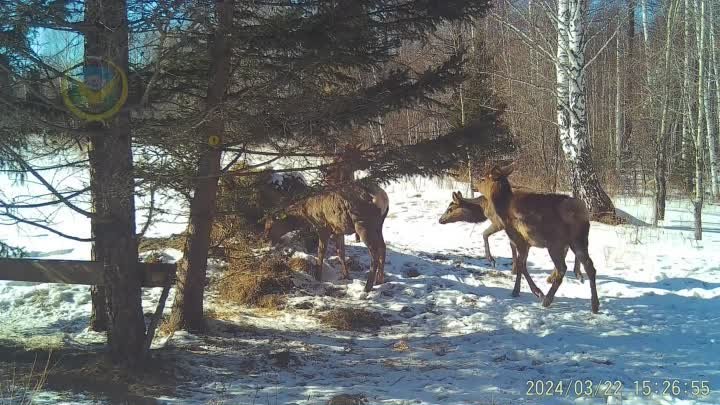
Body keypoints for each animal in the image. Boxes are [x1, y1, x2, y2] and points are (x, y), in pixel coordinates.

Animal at [436, 190, 584, 282]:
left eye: (450, 209)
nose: (440, 220)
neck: (484, 209)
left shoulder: (499, 222)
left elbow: (485, 234)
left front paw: (492, 260)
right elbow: (512, 245)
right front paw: (514, 269)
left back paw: (567, 274)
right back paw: (574, 273)